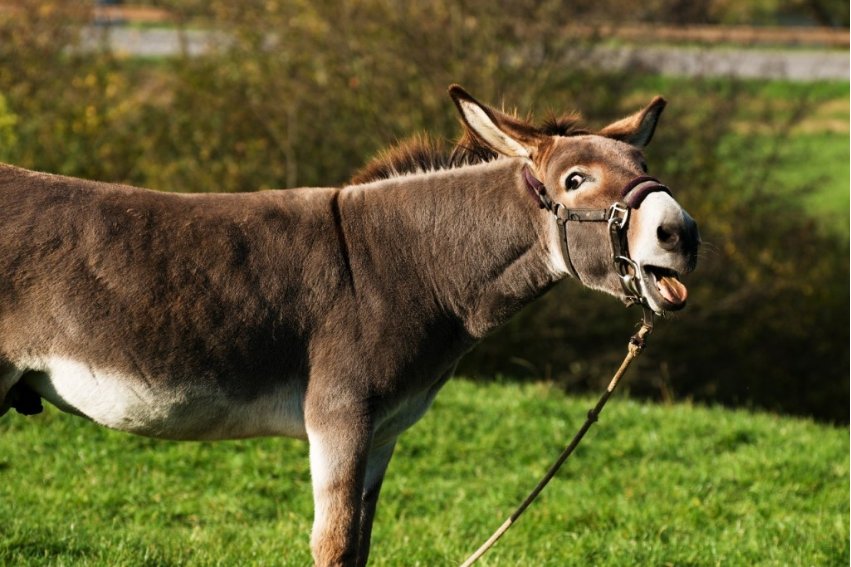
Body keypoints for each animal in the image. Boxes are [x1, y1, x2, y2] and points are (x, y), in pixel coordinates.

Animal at [0, 85, 698, 566]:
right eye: (574, 180)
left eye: (643, 163)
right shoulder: (339, 419)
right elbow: (332, 546)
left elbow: (360, 544)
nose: (682, 233)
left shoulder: (385, 430)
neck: (411, 266)